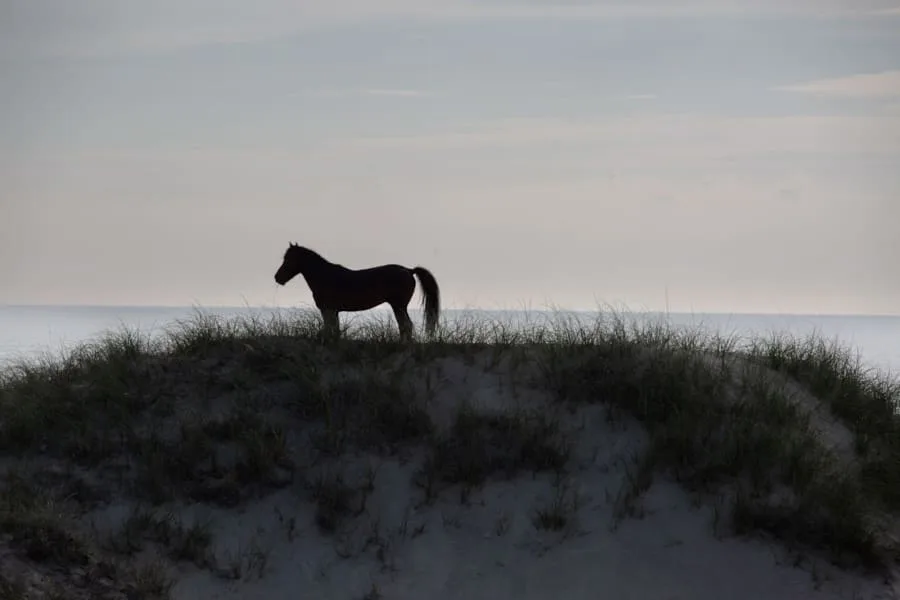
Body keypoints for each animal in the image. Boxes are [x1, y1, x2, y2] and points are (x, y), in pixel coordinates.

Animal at [273, 243, 441, 342]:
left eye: (288, 259)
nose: (277, 278)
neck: (325, 276)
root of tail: (409, 270)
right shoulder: (334, 311)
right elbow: (335, 330)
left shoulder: (328, 310)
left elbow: (329, 330)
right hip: (399, 306)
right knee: (404, 326)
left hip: (398, 306)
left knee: (406, 325)